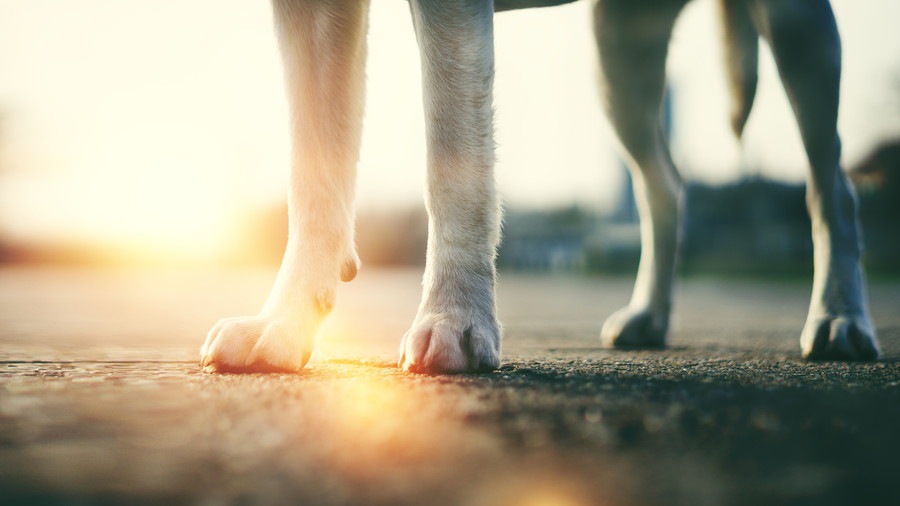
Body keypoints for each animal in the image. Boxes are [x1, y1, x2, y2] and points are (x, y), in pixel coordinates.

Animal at [197, 0, 880, 374]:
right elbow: (312, 170)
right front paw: (282, 324)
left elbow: (453, 158)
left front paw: (455, 318)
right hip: (619, 53)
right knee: (664, 185)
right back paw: (650, 313)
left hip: (799, 27)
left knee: (832, 184)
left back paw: (840, 317)